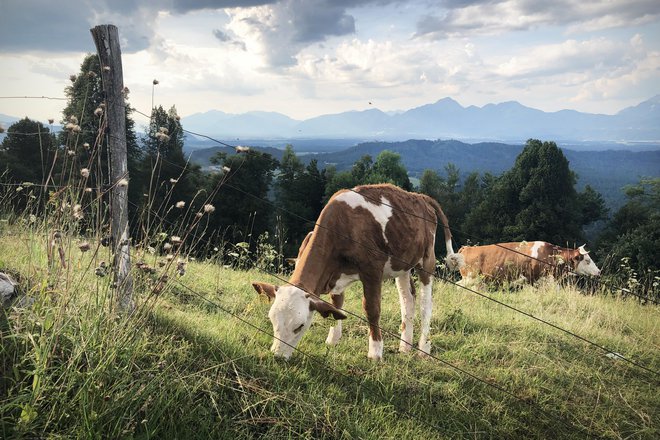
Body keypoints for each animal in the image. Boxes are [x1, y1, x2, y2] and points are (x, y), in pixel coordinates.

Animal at [253, 184, 464, 360]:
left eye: (300, 326)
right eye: (272, 321)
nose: (277, 356)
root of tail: (420, 196)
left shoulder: (372, 270)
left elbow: (372, 309)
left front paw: (375, 352)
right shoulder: (335, 276)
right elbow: (336, 305)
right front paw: (333, 339)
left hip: (427, 260)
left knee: (425, 304)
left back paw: (423, 348)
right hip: (402, 265)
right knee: (407, 300)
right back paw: (405, 346)